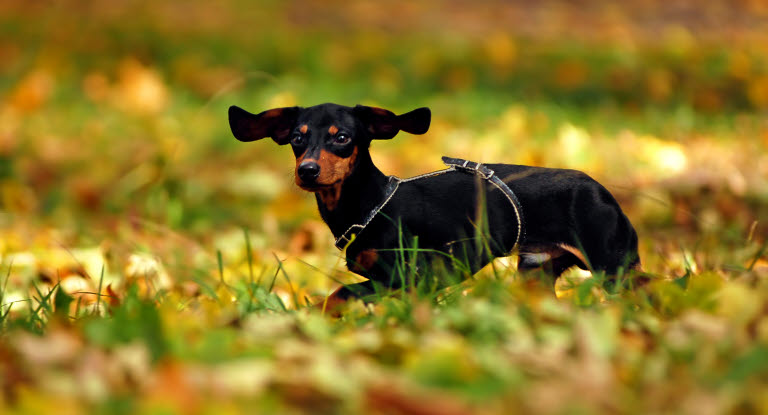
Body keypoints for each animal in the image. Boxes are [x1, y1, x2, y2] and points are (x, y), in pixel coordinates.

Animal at [230, 103, 640, 306]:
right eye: (296, 139)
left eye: (342, 137)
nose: (308, 171)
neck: (370, 203)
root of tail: (602, 191)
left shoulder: (415, 277)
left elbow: (341, 293)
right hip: (536, 275)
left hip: (615, 268)